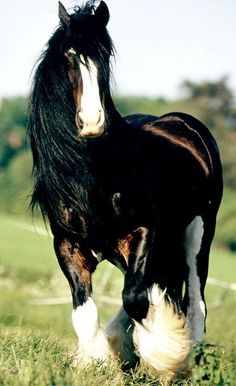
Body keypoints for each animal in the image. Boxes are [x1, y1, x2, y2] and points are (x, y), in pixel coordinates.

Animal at [27, 0, 223, 376]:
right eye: (69, 58)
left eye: (103, 56)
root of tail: (184, 123)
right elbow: (85, 312)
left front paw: (162, 352)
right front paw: (98, 360)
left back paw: (185, 359)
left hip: (197, 234)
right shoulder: (68, 244)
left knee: (194, 303)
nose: (92, 121)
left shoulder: (145, 230)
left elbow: (136, 299)